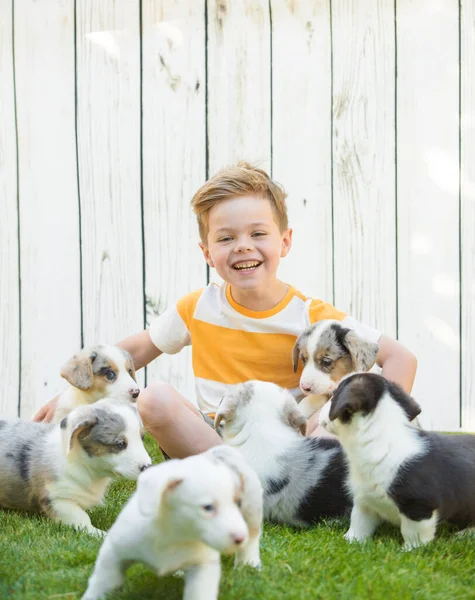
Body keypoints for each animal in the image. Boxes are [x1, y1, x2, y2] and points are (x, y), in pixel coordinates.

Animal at [0, 398, 151, 536]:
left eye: (142, 438)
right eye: (120, 444)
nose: (148, 467)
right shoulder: (58, 499)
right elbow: (82, 519)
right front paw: (100, 535)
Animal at [81, 446, 264, 600]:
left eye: (237, 503)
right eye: (208, 507)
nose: (239, 538)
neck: (175, 532)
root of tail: (222, 449)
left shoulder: (203, 565)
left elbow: (199, 592)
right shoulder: (114, 552)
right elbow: (103, 581)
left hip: (252, 510)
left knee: (253, 537)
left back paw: (249, 563)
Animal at [320, 372, 475, 552]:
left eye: (333, 394)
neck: (377, 440)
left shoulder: (418, 507)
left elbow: (413, 533)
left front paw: (408, 551)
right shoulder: (364, 501)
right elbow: (358, 523)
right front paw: (350, 541)